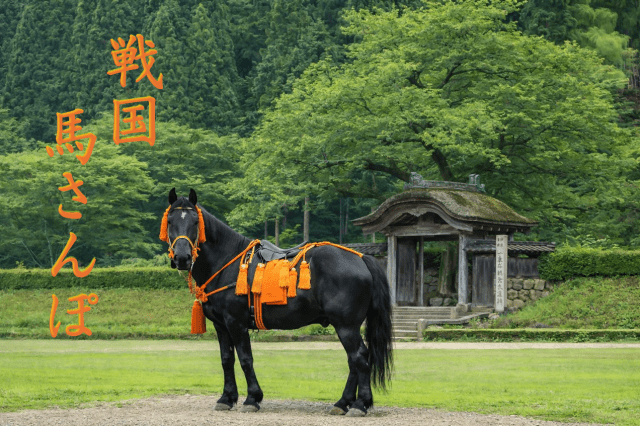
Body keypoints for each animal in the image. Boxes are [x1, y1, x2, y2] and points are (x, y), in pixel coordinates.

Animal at [161, 188, 392, 416]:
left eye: (195, 222)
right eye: (170, 221)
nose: (182, 257)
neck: (227, 263)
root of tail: (361, 258)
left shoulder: (236, 323)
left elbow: (245, 359)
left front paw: (252, 398)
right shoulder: (221, 325)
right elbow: (227, 360)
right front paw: (227, 398)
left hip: (346, 325)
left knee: (359, 357)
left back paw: (359, 404)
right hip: (346, 326)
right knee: (353, 361)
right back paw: (343, 402)